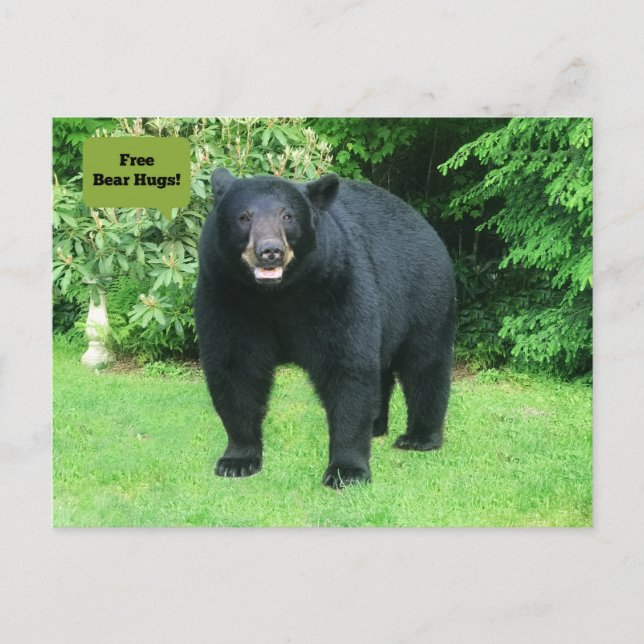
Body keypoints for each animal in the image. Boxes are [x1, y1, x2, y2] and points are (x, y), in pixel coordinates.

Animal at [194, 167, 456, 489]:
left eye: (288, 216)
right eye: (244, 216)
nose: (270, 251)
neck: (275, 295)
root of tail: (422, 221)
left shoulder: (336, 286)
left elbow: (346, 368)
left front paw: (346, 470)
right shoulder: (226, 295)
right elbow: (235, 369)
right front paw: (237, 460)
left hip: (424, 295)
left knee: (425, 363)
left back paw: (420, 437)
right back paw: (376, 425)